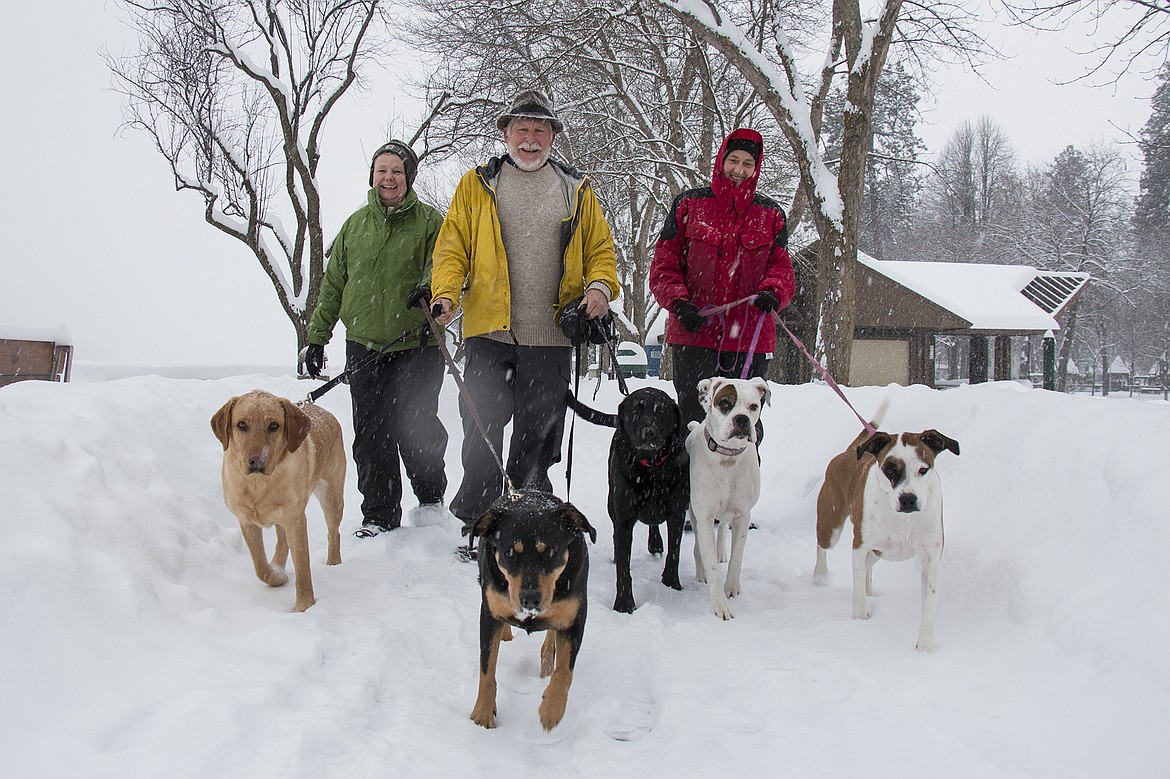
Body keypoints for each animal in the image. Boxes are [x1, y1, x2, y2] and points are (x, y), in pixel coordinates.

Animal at [209, 390, 343, 608]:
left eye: (274, 425)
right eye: (241, 424)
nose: (256, 461)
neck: (259, 485)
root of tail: (325, 411)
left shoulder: (296, 520)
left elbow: (303, 568)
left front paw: (305, 607)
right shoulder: (246, 520)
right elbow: (260, 565)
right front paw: (277, 576)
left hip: (332, 496)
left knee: (334, 533)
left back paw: (333, 565)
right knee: (282, 541)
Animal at [465, 488, 594, 729]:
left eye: (551, 552)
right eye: (509, 553)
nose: (530, 599)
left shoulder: (574, 618)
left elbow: (565, 671)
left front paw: (551, 710)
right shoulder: (488, 614)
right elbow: (487, 670)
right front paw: (482, 714)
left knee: (551, 640)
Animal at [563, 385, 683, 608]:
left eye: (661, 410)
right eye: (635, 411)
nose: (649, 432)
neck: (651, 469)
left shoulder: (677, 513)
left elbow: (674, 553)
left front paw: (672, 584)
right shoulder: (624, 519)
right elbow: (623, 568)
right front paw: (624, 604)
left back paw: (655, 542)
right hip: (612, 504)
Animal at [683, 376, 767, 617]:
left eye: (753, 406)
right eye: (724, 403)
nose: (742, 419)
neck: (728, 457)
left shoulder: (743, 515)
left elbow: (737, 557)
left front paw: (732, 588)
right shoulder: (704, 515)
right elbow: (710, 562)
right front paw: (719, 605)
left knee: (722, 528)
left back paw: (721, 551)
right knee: (700, 544)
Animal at [814, 402, 959, 650]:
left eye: (923, 469)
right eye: (890, 469)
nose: (908, 499)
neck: (902, 520)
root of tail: (847, 453)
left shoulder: (931, 555)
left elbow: (929, 600)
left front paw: (925, 644)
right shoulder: (860, 546)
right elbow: (857, 593)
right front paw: (860, 621)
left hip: (880, 550)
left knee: (869, 567)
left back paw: (869, 589)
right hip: (831, 524)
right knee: (823, 546)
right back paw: (820, 576)